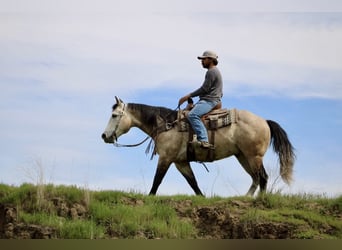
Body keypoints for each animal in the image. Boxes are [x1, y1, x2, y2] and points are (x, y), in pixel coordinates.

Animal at [101, 96, 294, 196]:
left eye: (114, 115)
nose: (104, 136)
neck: (167, 125)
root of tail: (265, 121)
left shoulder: (166, 158)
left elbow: (157, 180)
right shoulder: (181, 162)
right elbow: (193, 183)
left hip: (254, 156)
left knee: (263, 178)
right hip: (243, 156)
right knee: (255, 178)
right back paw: (246, 198)